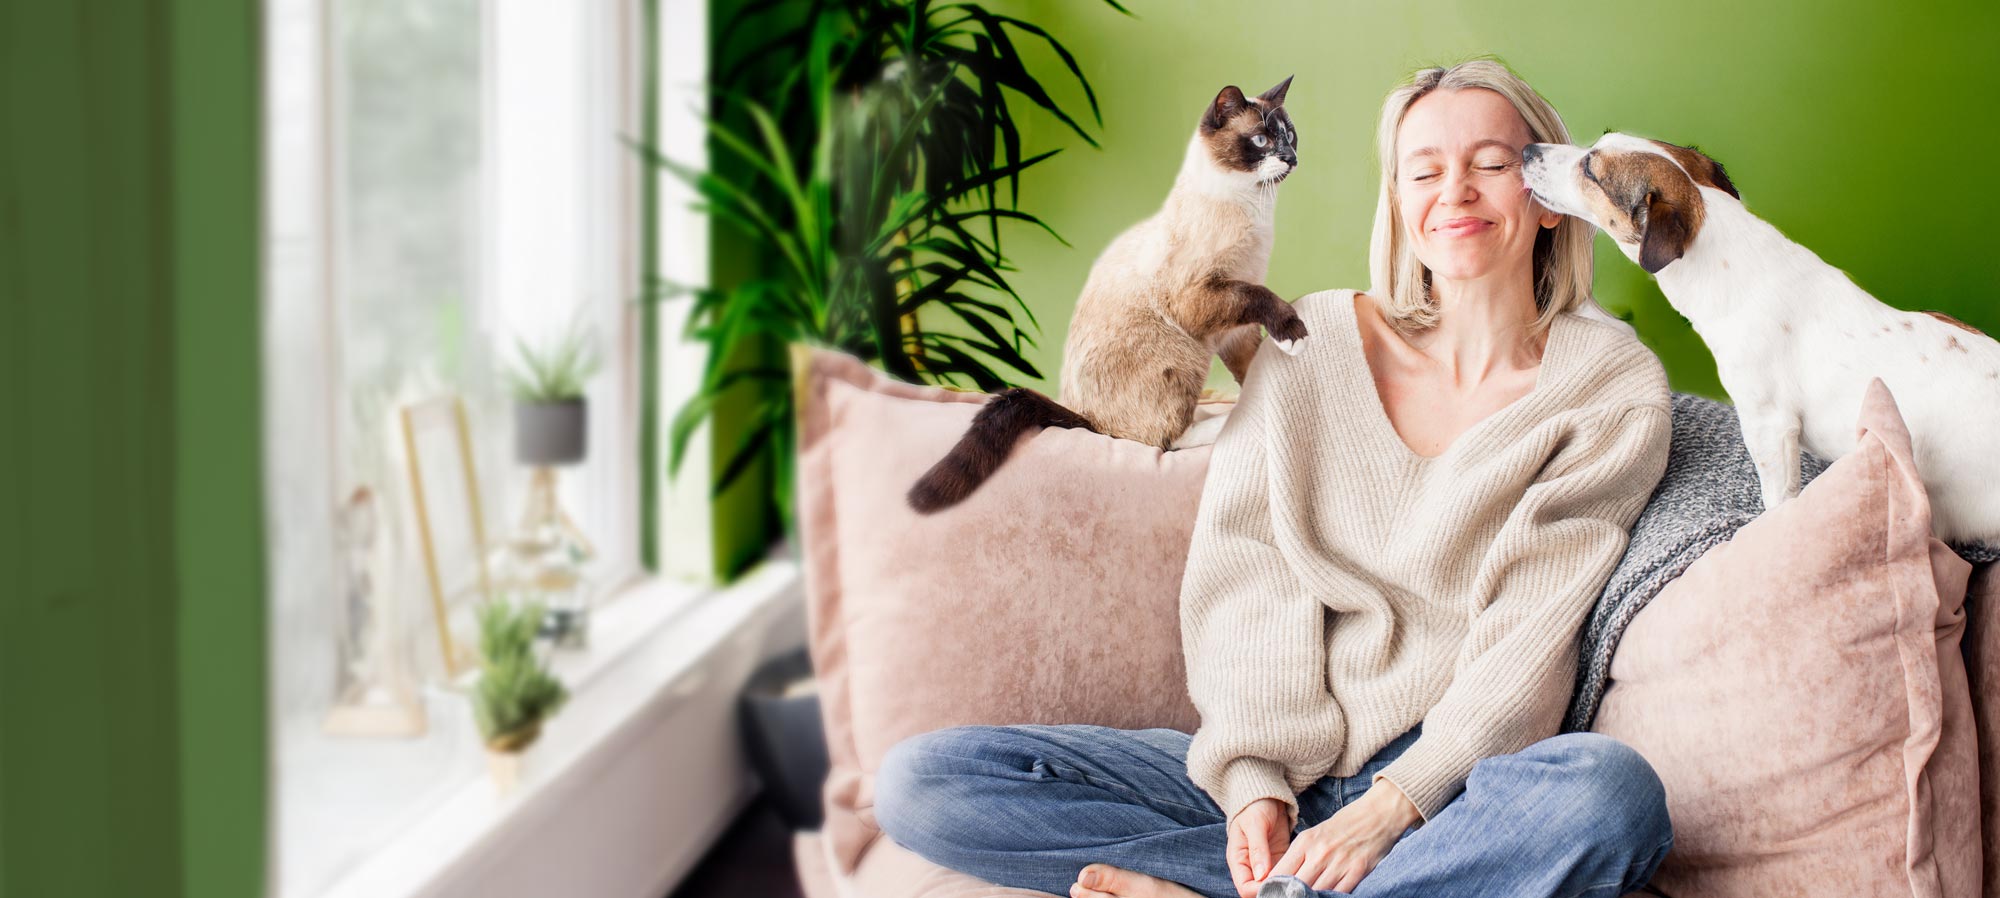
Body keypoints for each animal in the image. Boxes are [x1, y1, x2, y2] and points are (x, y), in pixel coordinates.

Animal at [912, 76, 1312, 516]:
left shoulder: (1234, 330)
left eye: (1290, 135)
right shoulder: (1206, 298)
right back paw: (1220, 422)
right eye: (1260, 139)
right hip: (1183, 352)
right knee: (1161, 439)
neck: (1254, 208)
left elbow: (1252, 366)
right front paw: (1294, 335)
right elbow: (1263, 297)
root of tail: (1087, 421)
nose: (1291, 158)